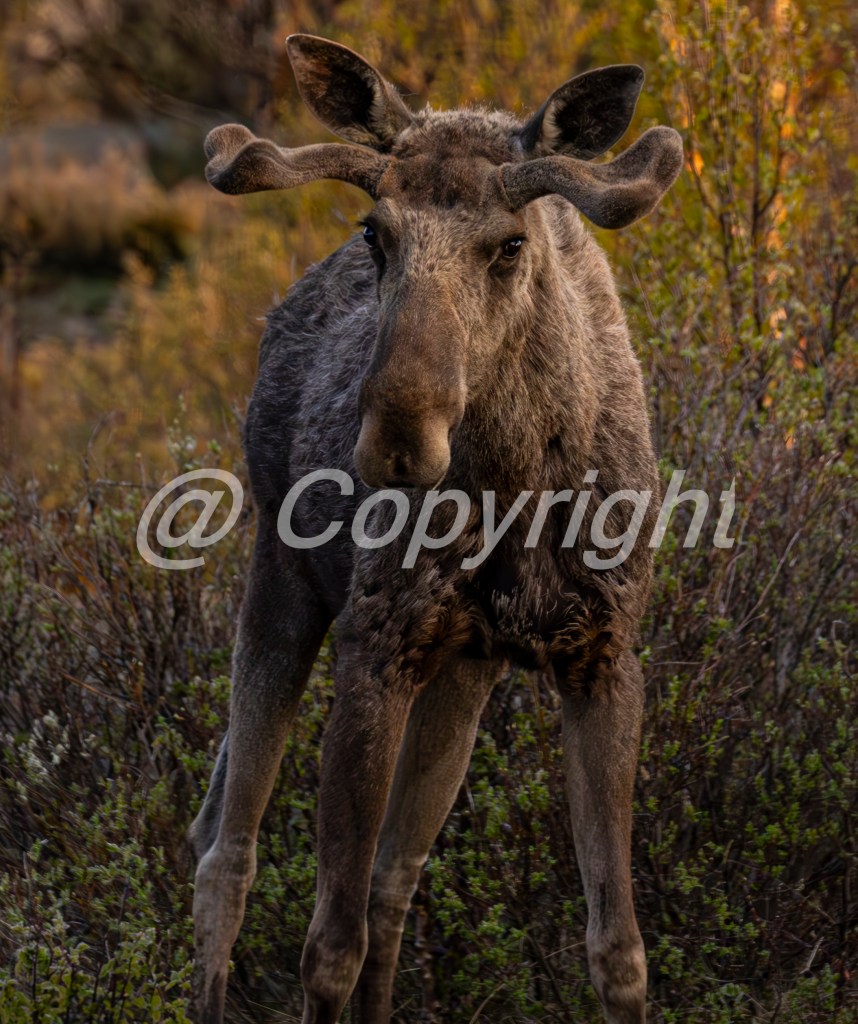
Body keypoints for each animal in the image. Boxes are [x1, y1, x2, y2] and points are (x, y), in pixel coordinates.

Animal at [188, 33, 682, 1024]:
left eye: (510, 244)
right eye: (376, 233)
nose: (398, 436)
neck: (514, 490)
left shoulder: (602, 655)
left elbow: (620, 951)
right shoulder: (376, 644)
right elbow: (326, 948)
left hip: (463, 666)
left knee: (391, 879)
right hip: (283, 576)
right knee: (226, 844)